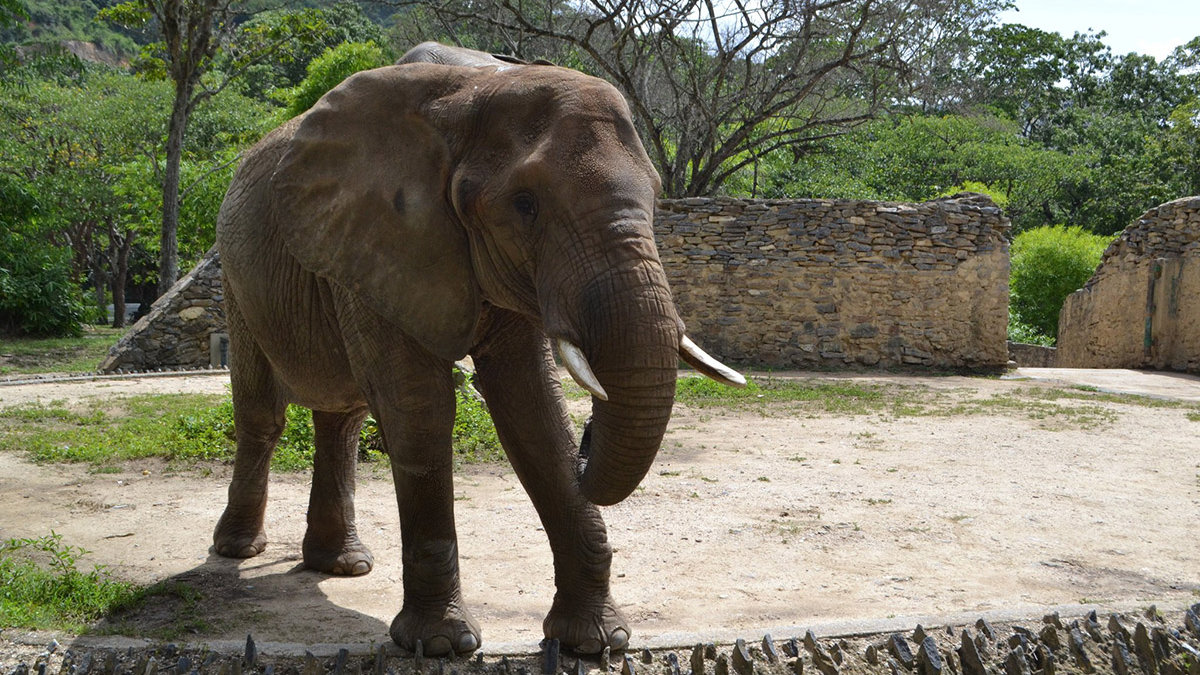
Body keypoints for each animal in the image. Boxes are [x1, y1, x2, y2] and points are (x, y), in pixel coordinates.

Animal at [212, 41, 745, 656]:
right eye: (525, 204)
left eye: (657, 197)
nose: (589, 442)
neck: (479, 87)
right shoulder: (378, 236)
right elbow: (419, 405)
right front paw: (441, 645)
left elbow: (531, 405)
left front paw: (595, 643)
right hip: (235, 277)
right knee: (263, 413)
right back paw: (238, 551)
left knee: (342, 417)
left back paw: (343, 566)